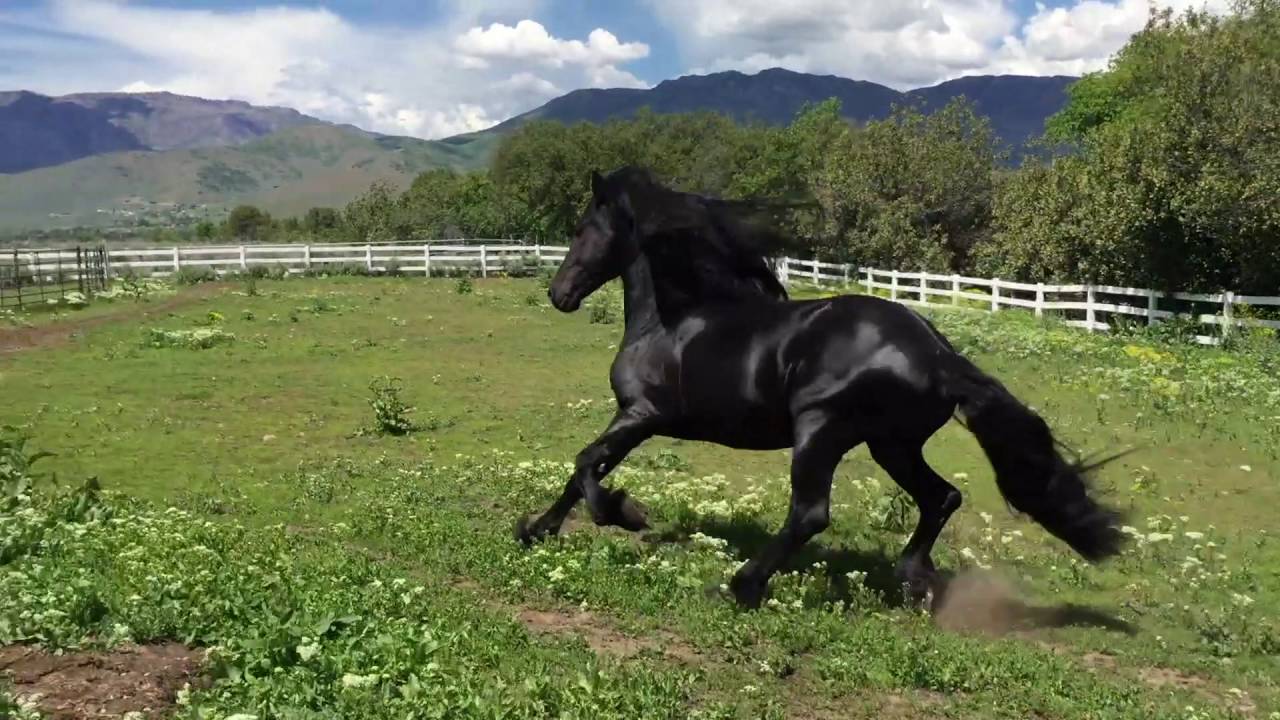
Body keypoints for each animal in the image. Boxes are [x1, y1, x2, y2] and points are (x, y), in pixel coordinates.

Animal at [515, 166, 1126, 609]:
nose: (559, 294)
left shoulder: (641, 414)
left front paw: (625, 512)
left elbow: (585, 465)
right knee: (941, 497)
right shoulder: (638, 420)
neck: (673, 319)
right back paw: (914, 581)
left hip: (822, 431)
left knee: (811, 513)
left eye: (582, 230)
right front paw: (536, 529)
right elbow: (582, 471)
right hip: (892, 445)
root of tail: (938, 353)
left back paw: (740, 586)